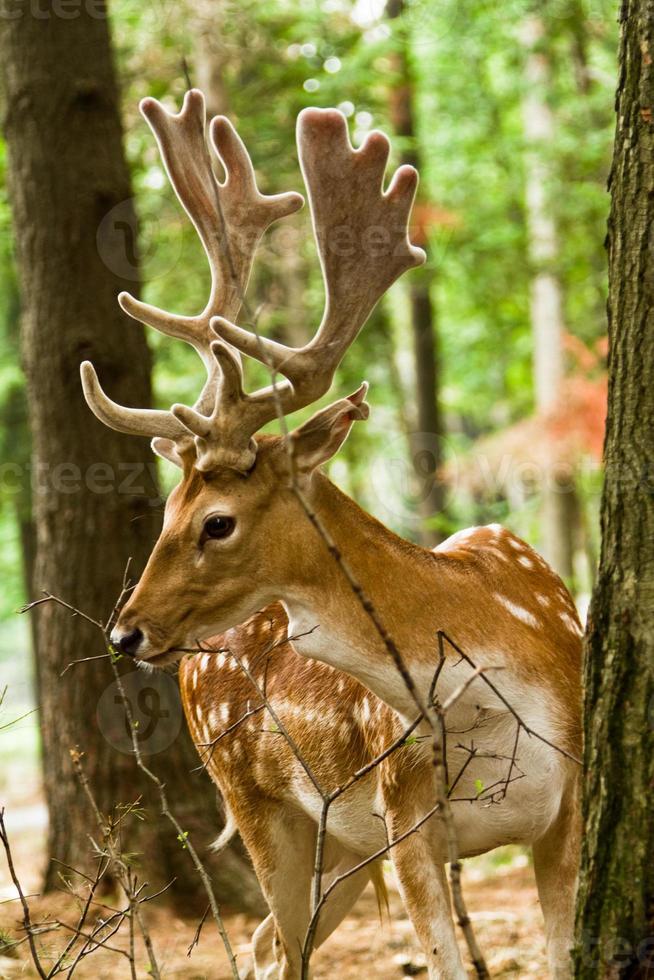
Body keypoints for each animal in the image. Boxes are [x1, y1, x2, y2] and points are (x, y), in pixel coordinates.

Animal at [83, 90, 584, 972]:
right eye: (168, 512)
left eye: (216, 521)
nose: (125, 632)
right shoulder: (407, 817)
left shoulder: (569, 801)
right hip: (260, 806)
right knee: (276, 949)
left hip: (342, 849)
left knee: (265, 944)